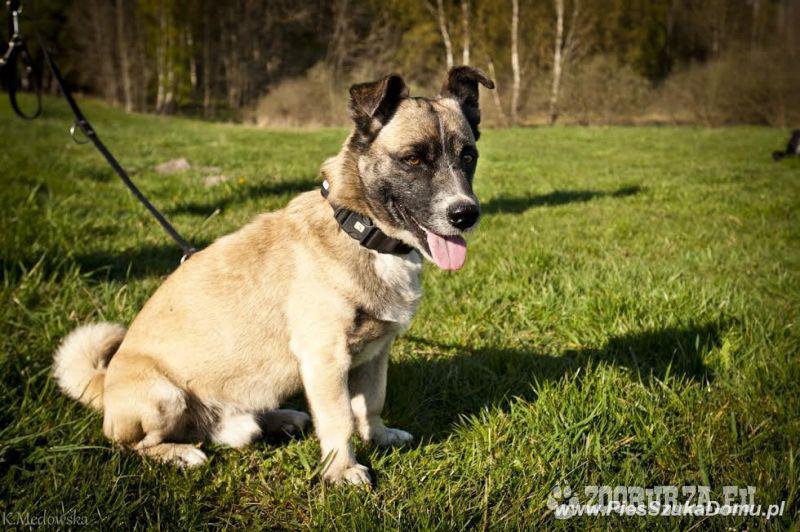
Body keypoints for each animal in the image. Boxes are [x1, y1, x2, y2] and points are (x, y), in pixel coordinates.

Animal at [52, 66, 494, 486]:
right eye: (413, 159)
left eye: (468, 156)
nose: (466, 214)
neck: (361, 232)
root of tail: (104, 387)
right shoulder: (326, 357)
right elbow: (340, 418)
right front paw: (341, 471)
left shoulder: (375, 354)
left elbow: (371, 402)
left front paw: (380, 436)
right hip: (164, 397)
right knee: (136, 444)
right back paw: (178, 453)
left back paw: (279, 419)